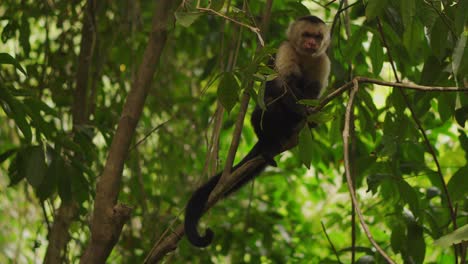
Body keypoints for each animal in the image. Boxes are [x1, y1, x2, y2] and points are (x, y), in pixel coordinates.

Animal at [185, 16, 330, 248]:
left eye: (317, 37)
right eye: (306, 35)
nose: (311, 43)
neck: (304, 56)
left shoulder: (322, 61)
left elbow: (313, 93)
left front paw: (310, 115)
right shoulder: (285, 50)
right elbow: (282, 85)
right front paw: (301, 111)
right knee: (266, 106)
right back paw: (268, 145)